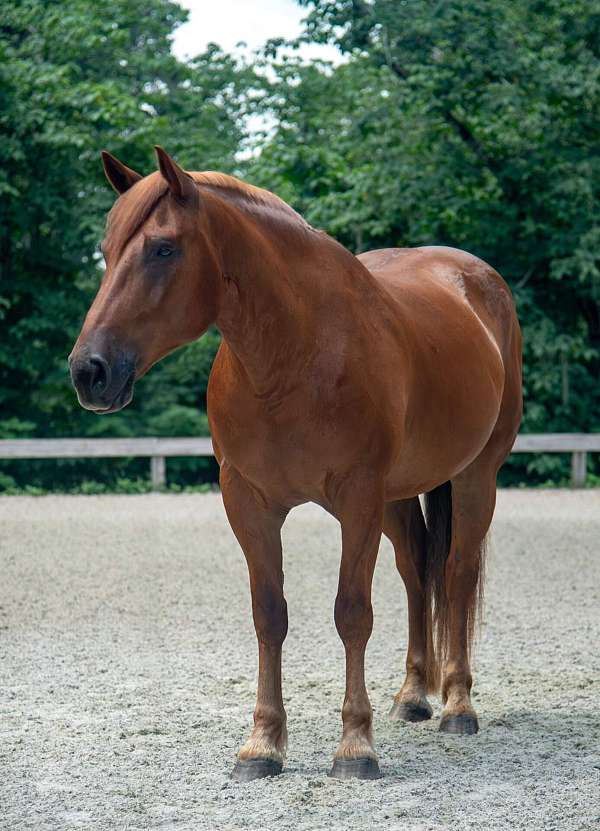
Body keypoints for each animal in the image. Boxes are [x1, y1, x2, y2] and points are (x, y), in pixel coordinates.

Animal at [69, 146, 522, 782]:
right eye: (107, 251)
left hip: (475, 477)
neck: (295, 354)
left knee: (455, 575)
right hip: (397, 497)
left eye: (163, 248)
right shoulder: (249, 503)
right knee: (416, 575)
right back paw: (413, 695)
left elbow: (352, 612)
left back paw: (458, 705)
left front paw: (355, 746)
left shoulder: (357, 499)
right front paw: (262, 744)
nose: (90, 371)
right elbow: (269, 614)